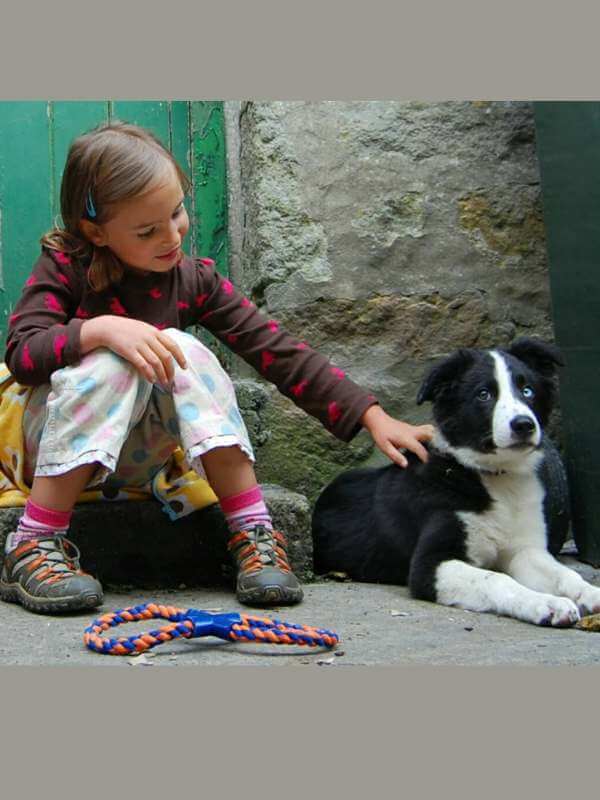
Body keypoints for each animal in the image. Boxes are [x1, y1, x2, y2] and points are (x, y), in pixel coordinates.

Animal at [312, 338, 600, 624]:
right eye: (483, 394)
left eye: (527, 391)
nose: (524, 425)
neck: (494, 477)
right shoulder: (429, 565)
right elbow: (498, 579)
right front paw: (545, 604)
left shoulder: (524, 550)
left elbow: (566, 574)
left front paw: (590, 593)